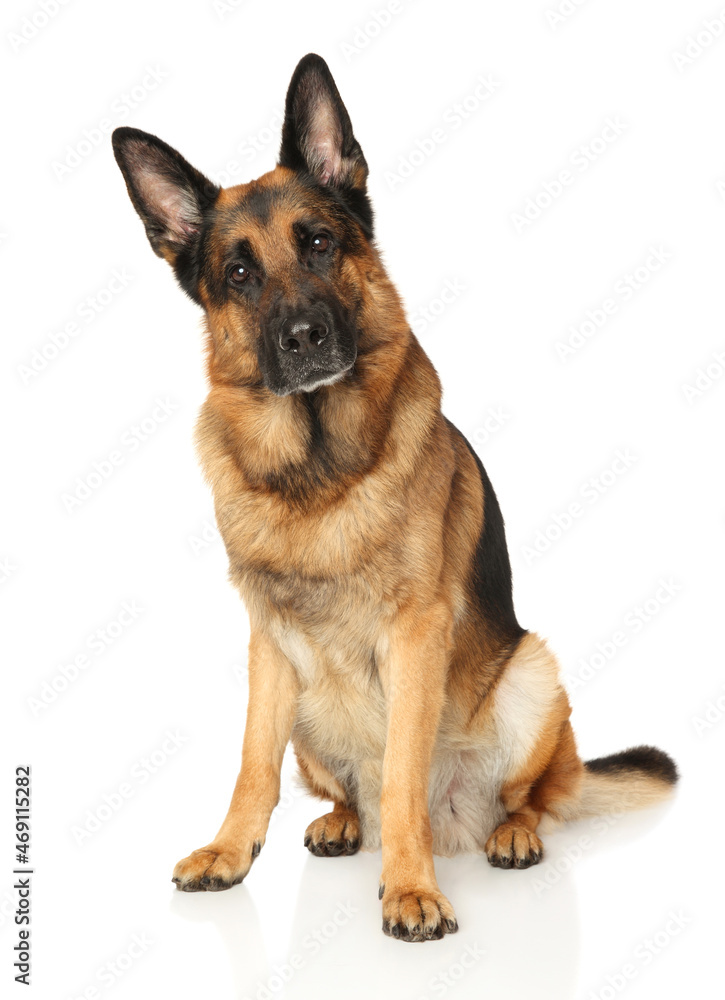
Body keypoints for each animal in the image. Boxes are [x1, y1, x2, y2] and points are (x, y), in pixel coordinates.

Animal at [113, 56, 680, 944]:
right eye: (238, 274)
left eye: (318, 243)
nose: (304, 338)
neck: (319, 471)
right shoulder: (267, 643)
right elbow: (250, 764)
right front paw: (231, 852)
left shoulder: (416, 634)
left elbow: (405, 770)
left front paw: (410, 889)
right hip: (310, 715)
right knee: (347, 787)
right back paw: (344, 821)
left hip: (532, 677)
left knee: (531, 799)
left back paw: (506, 834)